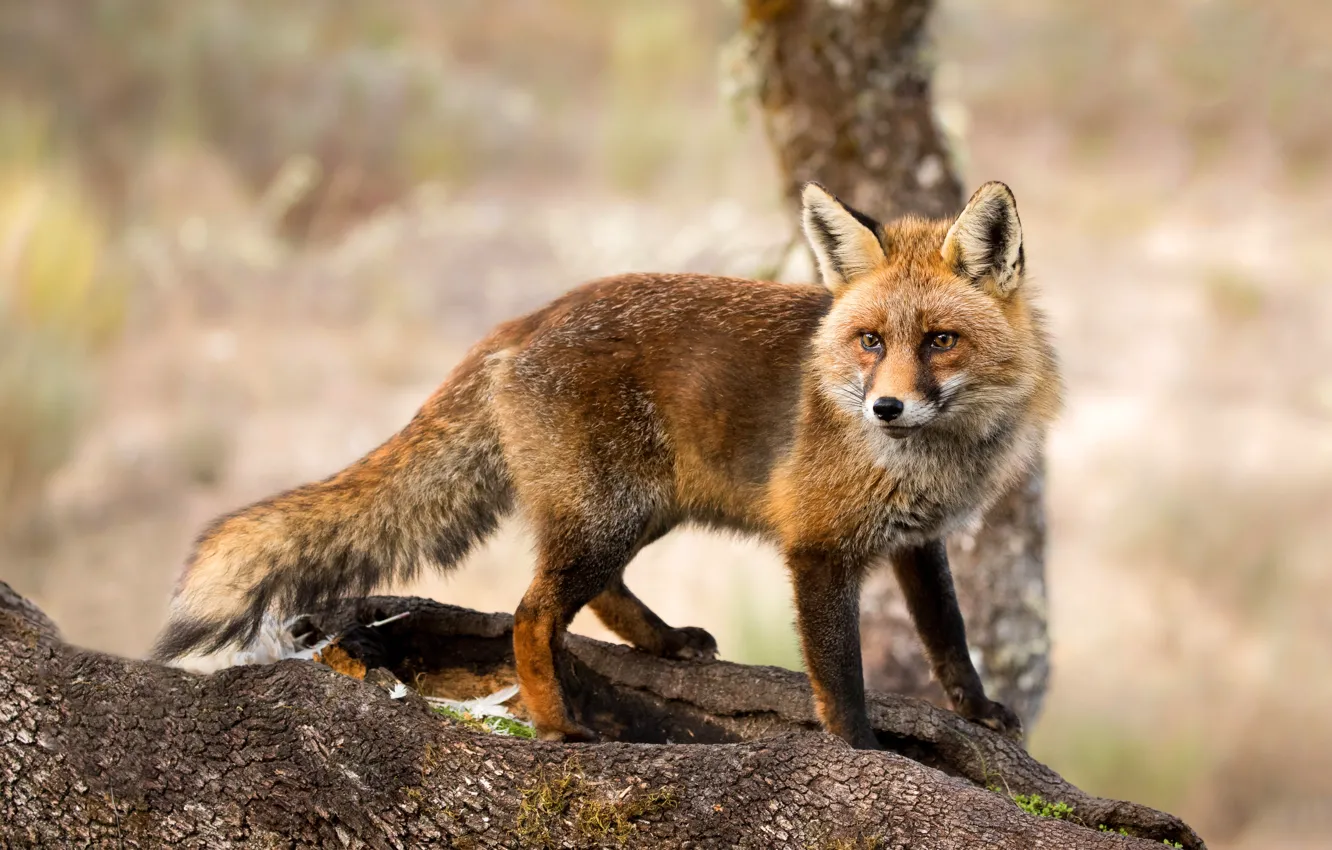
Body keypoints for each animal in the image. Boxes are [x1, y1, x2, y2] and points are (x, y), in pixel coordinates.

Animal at [153, 180, 1060, 749]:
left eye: (939, 340)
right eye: (870, 342)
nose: (887, 409)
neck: (927, 460)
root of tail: (526, 319)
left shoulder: (918, 539)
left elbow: (949, 634)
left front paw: (978, 710)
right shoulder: (819, 547)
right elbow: (840, 681)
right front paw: (864, 754)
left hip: (634, 510)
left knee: (594, 597)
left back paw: (660, 643)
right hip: (609, 514)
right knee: (529, 615)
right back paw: (558, 726)